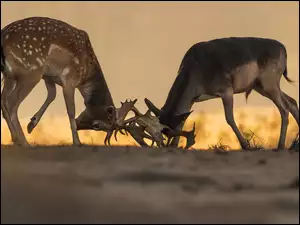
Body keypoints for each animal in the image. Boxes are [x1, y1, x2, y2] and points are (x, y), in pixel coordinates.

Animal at [0, 16, 131, 147]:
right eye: (96, 125)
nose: (79, 125)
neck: (87, 74)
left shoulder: (48, 76)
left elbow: (52, 94)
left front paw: (31, 124)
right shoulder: (70, 79)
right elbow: (71, 110)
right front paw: (77, 142)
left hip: (10, 76)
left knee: (4, 100)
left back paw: (16, 139)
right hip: (31, 72)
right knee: (11, 102)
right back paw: (24, 142)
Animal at [145, 37, 298, 149]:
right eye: (163, 129)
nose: (165, 145)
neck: (196, 67)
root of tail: (282, 47)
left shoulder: (226, 92)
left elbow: (229, 118)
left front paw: (245, 145)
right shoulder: (192, 100)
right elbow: (184, 118)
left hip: (269, 86)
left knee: (284, 108)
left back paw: (280, 146)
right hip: (261, 87)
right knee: (292, 102)